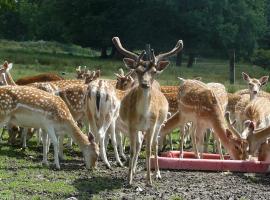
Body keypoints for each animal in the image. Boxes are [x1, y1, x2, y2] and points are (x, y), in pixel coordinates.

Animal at [112, 36, 184, 186]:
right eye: (137, 71)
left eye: (154, 72)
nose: (145, 84)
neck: (143, 114)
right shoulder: (132, 125)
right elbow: (133, 150)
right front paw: (129, 179)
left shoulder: (151, 125)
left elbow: (149, 149)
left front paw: (149, 180)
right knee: (139, 144)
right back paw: (134, 170)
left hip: (159, 124)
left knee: (155, 145)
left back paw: (157, 174)